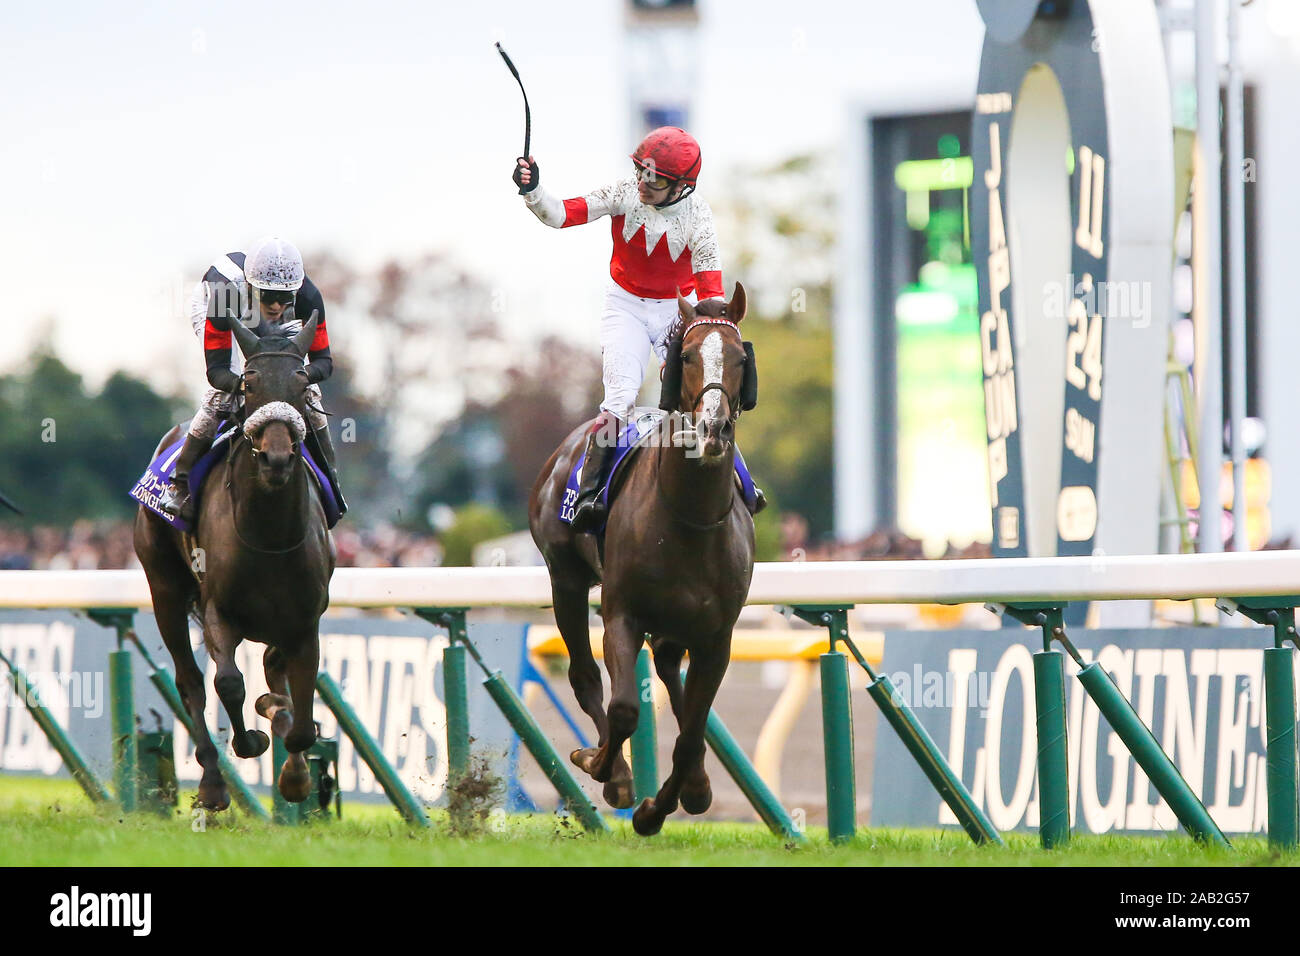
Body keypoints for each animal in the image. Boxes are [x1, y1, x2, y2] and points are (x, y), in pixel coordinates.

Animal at [131, 317, 332, 811]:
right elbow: (228, 683)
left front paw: (294, 774)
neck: (269, 537)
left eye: (302, 383)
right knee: (189, 680)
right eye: (250, 383)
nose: (277, 457)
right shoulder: (217, 610)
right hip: (164, 589)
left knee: (272, 670)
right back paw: (212, 782)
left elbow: (301, 717)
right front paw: (249, 741)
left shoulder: (304, 621)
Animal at [525, 282, 759, 837]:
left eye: (740, 358)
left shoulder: (718, 636)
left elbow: (692, 732)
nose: (713, 429)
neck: (691, 517)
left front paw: (664, 806)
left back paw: (694, 784)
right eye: (688, 356)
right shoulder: (622, 614)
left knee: (675, 678)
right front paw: (606, 771)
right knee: (585, 676)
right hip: (565, 581)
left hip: (677, 622)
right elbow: (626, 708)